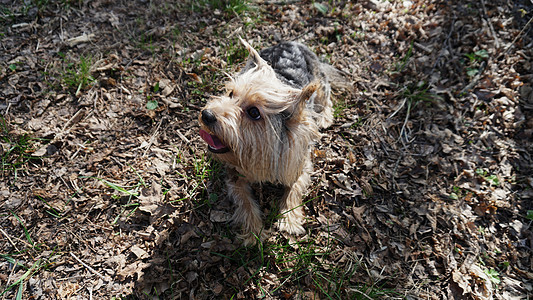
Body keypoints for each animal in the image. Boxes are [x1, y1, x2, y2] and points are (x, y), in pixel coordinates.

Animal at [197, 37, 342, 245]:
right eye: (231, 94)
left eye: (254, 112)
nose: (207, 115)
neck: (260, 153)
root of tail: (291, 42)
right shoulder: (235, 175)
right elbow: (245, 202)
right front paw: (254, 232)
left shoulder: (298, 162)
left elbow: (294, 188)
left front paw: (289, 220)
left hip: (319, 81)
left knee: (325, 95)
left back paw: (325, 117)